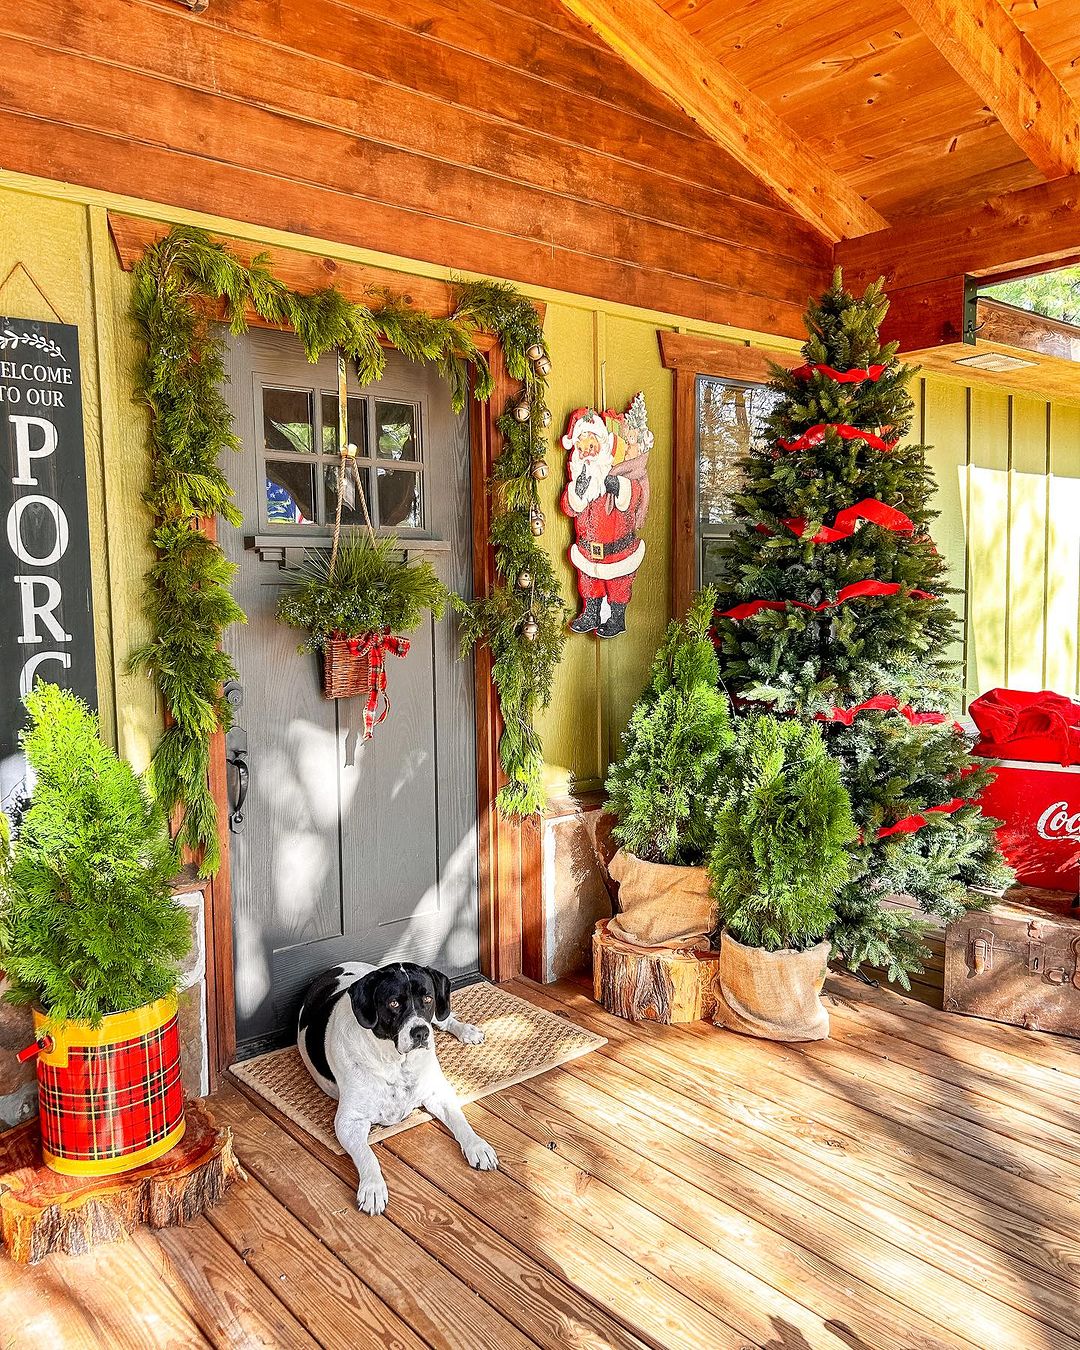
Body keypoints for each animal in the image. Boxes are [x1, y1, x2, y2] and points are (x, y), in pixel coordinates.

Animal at [295, 961, 496, 1215]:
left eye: (427, 998)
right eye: (394, 1003)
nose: (420, 1032)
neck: (396, 1063)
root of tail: (337, 966)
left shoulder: (439, 1093)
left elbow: (461, 1121)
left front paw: (477, 1146)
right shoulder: (349, 1121)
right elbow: (367, 1155)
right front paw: (372, 1188)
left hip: (439, 1015)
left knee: (444, 1018)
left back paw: (466, 1031)